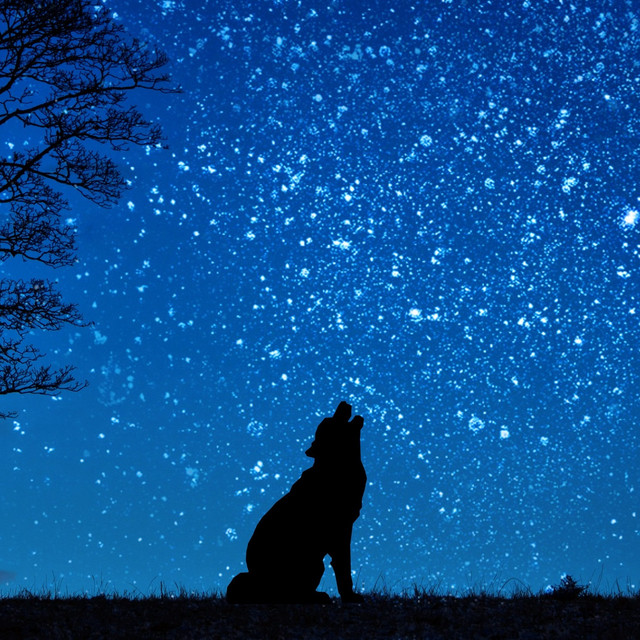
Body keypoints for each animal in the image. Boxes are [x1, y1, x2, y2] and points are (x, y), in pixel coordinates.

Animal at [226, 401, 366, 603]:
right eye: (329, 421)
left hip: (316, 564)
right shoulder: (340, 532)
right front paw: (350, 597)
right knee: (291, 593)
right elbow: (344, 569)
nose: (343, 402)